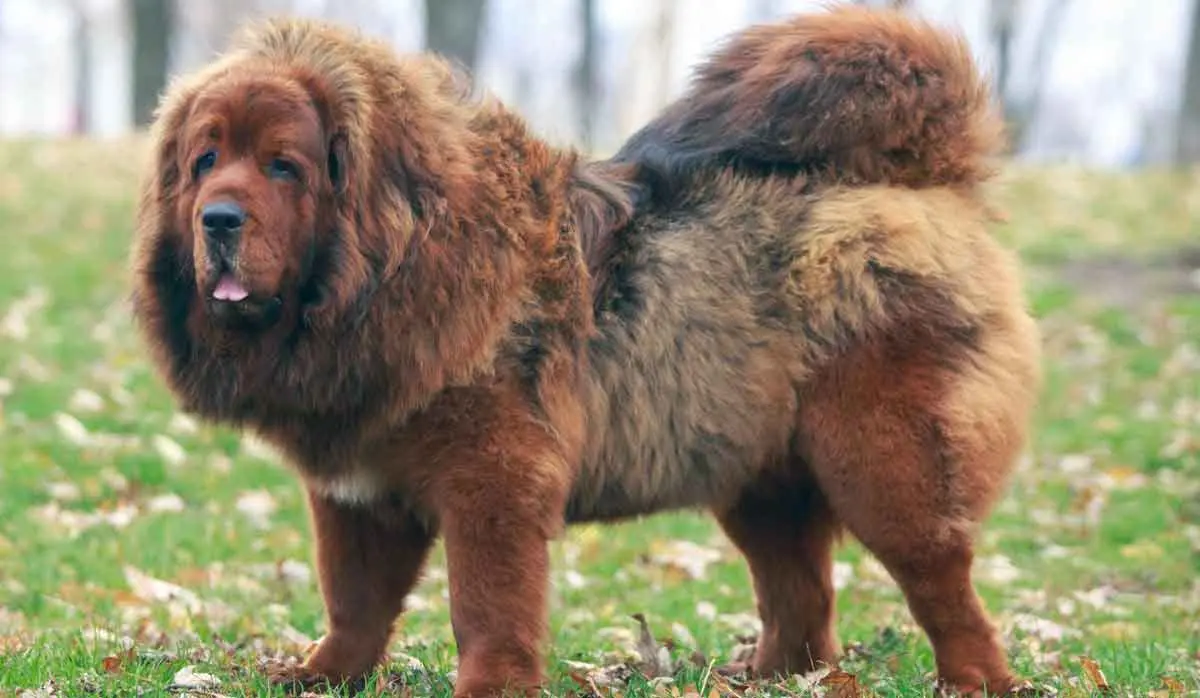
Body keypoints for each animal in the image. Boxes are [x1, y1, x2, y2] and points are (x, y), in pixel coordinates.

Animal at [129, 6, 1041, 698]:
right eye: (205, 161)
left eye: (283, 167)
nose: (218, 219)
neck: (392, 269)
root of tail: (928, 181)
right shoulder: (357, 490)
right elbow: (354, 601)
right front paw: (319, 677)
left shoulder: (492, 479)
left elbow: (485, 605)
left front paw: (490, 687)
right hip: (758, 475)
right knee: (803, 601)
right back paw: (768, 678)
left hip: (883, 462)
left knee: (942, 584)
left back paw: (974, 681)